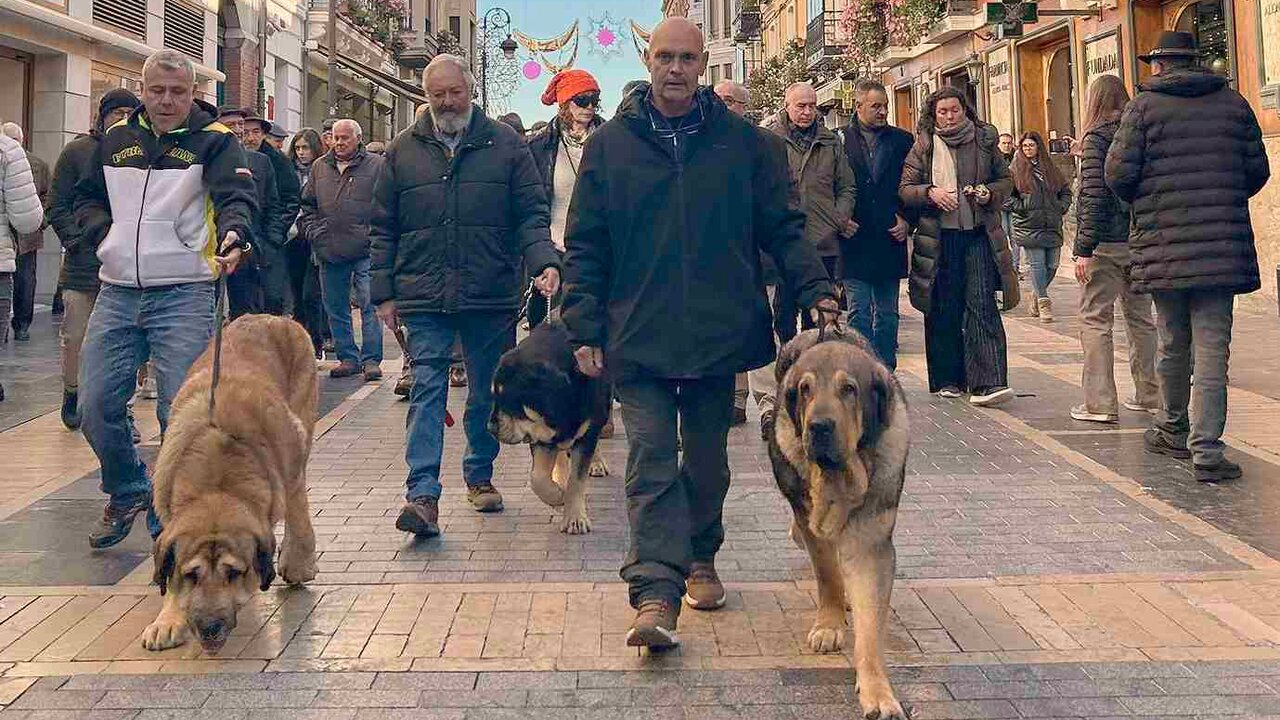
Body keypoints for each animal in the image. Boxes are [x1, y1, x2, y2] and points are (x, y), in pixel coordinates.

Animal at [140, 313, 317, 650]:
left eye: (234, 573)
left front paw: (298, 561)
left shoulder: (292, 453)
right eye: (192, 575)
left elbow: (297, 507)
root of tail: (273, 316)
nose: (209, 627)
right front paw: (168, 619)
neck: (217, 480)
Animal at [488, 320, 609, 532]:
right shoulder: (540, 435)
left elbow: (577, 480)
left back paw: (596, 463)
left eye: (508, 400)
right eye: (494, 396)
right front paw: (557, 495)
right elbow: (538, 478)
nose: (490, 427)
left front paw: (575, 518)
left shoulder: (588, 431)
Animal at [768, 326, 911, 717]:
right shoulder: (813, 526)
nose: (818, 426)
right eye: (805, 389)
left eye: (849, 389)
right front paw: (829, 625)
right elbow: (828, 575)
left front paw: (877, 691)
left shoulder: (870, 544)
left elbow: (870, 627)